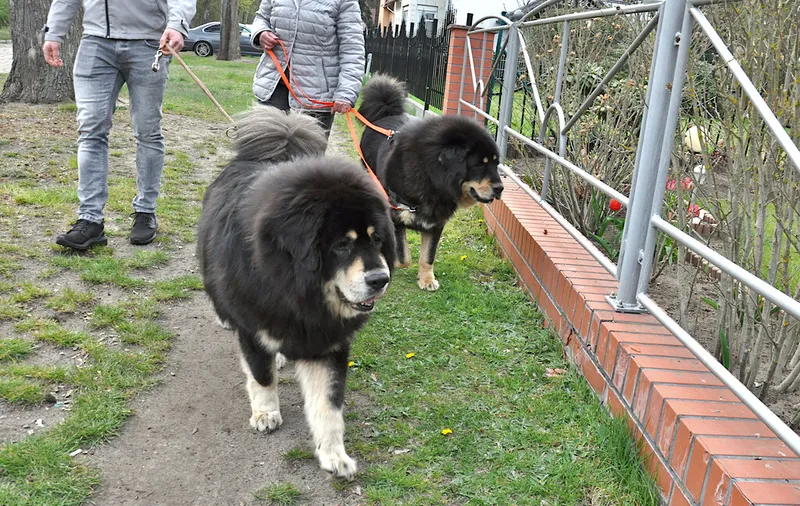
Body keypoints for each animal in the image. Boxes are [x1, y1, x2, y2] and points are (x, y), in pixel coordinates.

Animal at [197, 107, 396, 479]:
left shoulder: (327, 342)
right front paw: (265, 413)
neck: (297, 293)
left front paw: (334, 454)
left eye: (377, 239)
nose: (380, 279)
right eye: (341, 245)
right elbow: (261, 376)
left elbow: (328, 406)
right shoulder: (253, 328)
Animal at [358, 74, 503, 291]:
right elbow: (404, 257)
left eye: (496, 163)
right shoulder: (396, 216)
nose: (500, 188)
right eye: (480, 164)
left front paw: (426, 279)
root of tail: (386, 113)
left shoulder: (436, 223)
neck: (432, 180)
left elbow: (428, 256)